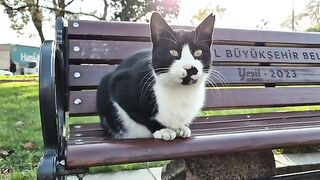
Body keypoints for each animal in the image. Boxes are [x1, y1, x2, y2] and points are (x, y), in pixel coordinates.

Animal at [95, 12, 215, 141]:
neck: (181, 92)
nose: (189, 68)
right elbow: (142, 116)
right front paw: (163, 129)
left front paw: (181, 127)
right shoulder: (120, 85)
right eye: (173, 52)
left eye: (198, 52)